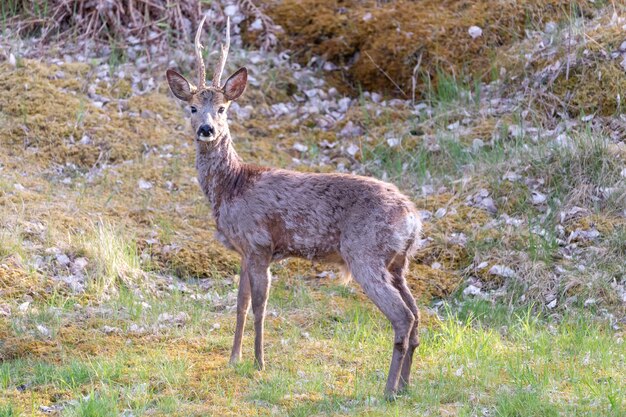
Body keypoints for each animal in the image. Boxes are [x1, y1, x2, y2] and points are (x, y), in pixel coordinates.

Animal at [163, 13, 422, 396]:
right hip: (398, 262)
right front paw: (233, 358)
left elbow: (260, 306)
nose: (207, 129)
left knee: (402, 316)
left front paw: (259, 362)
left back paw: (388, 390)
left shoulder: (259, 243)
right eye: (193, 107)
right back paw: (404, 385)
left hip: (366, 253)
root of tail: (414, 219)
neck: (232, 186)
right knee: (416, 314)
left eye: (223, 108)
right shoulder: (244, 251)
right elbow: (240, 304)